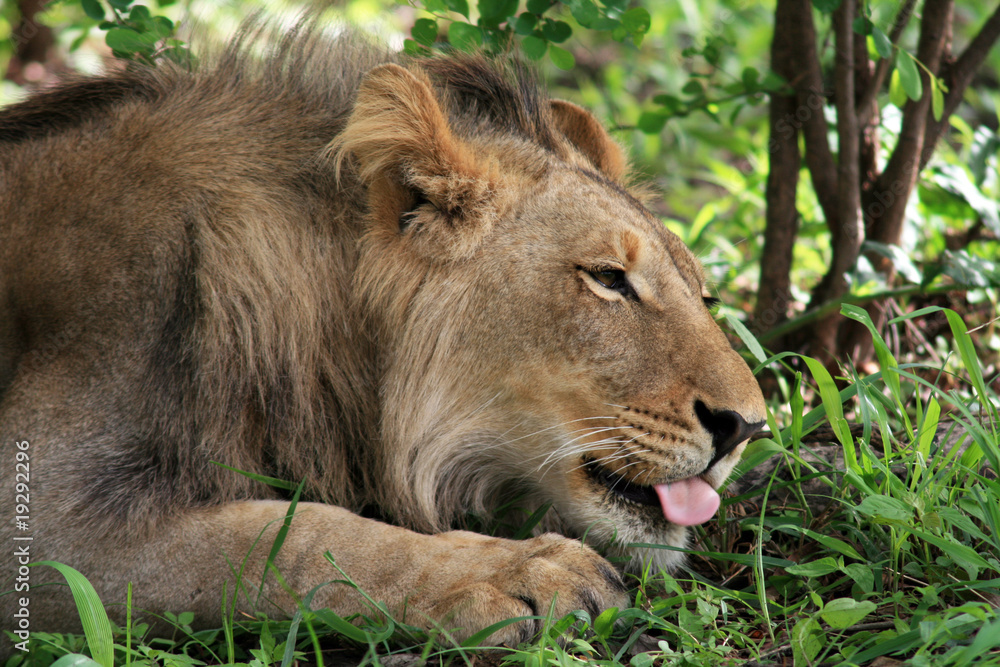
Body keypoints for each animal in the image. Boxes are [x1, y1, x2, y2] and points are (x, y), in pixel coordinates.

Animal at [0, 25, 765, 652]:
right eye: (608, 278)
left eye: (705, 296)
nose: (747, 428)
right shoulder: (46, 509)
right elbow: (286, 535)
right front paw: (514, 569)